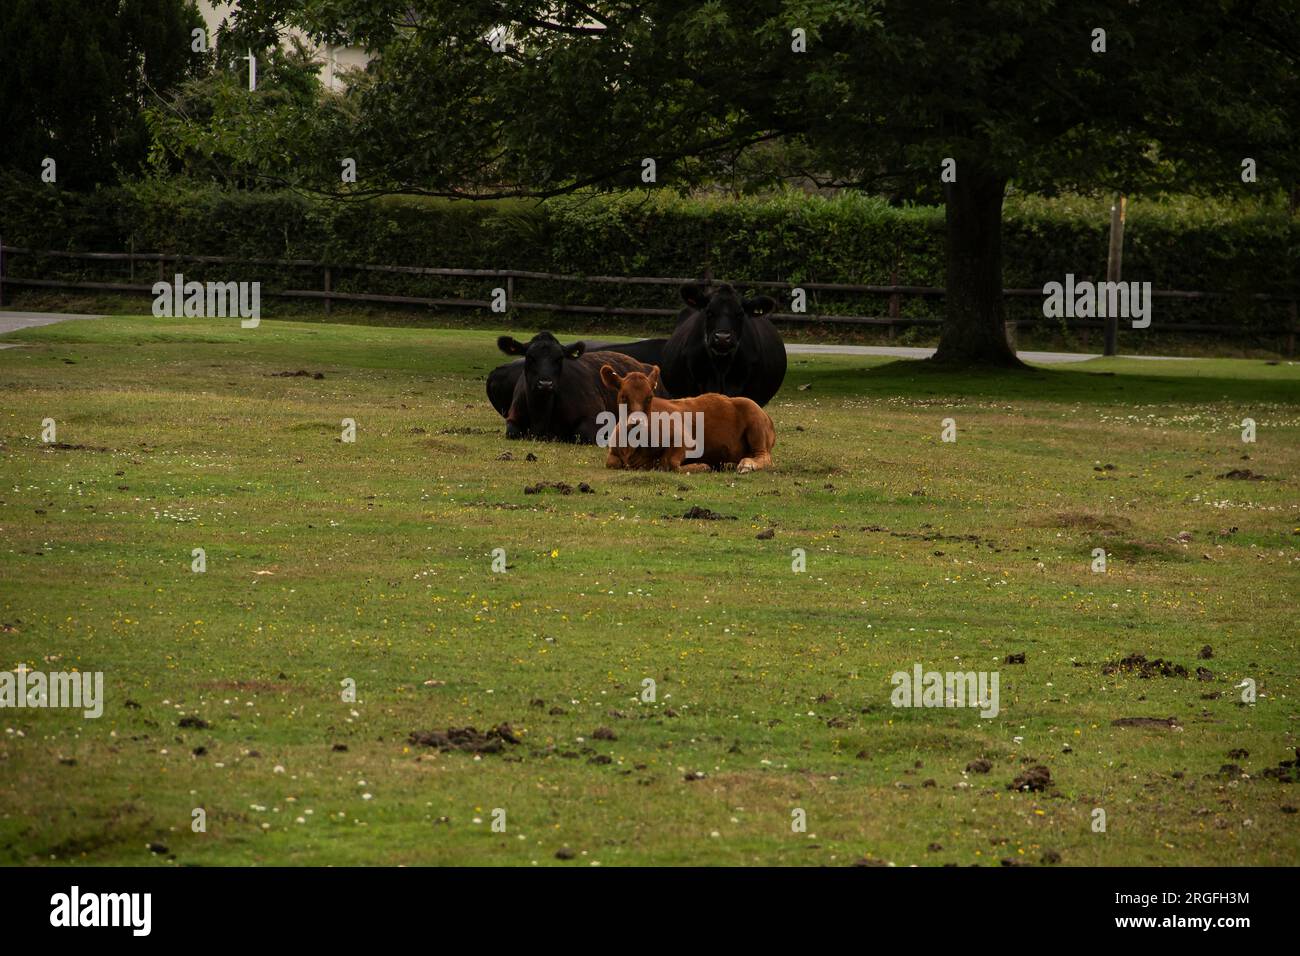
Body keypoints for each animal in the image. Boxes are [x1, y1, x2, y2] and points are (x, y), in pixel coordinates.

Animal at [598, 364, 769, 473]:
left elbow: (669, 463)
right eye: (623, 396)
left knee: (764, 456)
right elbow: (611, 462)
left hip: (754, 418)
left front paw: (702, 465)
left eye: (649, 397)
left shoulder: (684, 439)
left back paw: (745, 465)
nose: (637, 422)